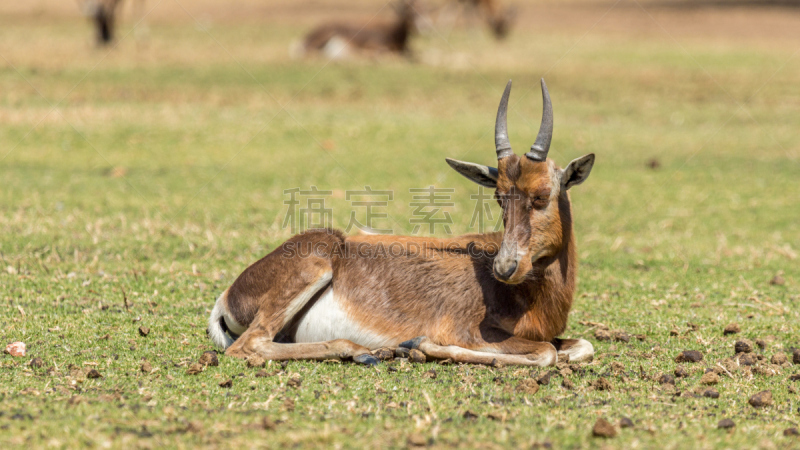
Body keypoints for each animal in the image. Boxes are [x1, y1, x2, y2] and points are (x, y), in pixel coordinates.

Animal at [209, 79, 596, 368]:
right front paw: (417, 345)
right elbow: (546, 352)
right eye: (499, 197)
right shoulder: (471, 331)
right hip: (315, 260)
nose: (505, 266)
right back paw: (363, 351)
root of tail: (228, 296)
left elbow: (580, 346)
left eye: (542, 195)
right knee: (250, 345)